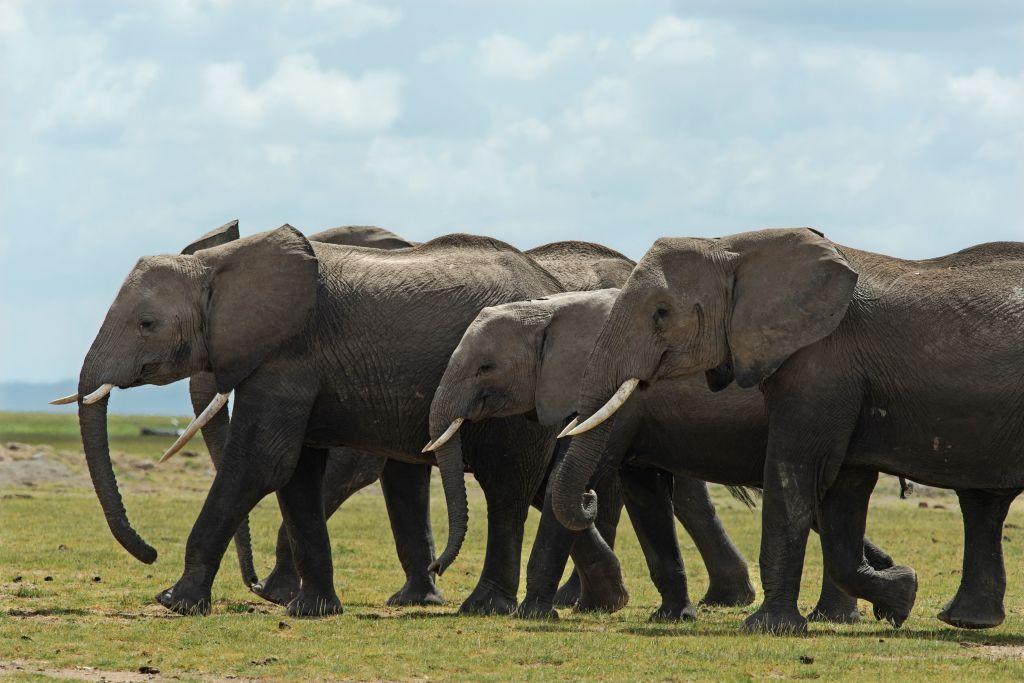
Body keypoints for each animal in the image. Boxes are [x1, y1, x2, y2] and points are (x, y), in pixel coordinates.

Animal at [69, 224, 632, 617]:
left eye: (147, 324)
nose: (148, 552)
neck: (221, 264)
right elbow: (295, 471)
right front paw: (310, 610)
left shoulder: (289, 358)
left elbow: (260, 463)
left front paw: (175, 601)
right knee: (543, 486)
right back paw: (602, 599)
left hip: (519, 393)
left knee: (507, 486)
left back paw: (487, 607)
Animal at [433, 288, 893, 623]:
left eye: (486, 368)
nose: (437, 568)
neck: (551, 309)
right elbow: (645, 495)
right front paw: (673, 617)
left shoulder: (621, 399)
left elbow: (575, 478)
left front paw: (533, 616)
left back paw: (840, 615)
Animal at [552, 227, 1024, 633]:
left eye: (662, 313)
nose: (590, 497)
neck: (735, 246)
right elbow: (842, 492)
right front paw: (902, 596)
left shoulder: (821, 365)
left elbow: (792, 473)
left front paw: (768, 627)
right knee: (983, 503)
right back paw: (965, 621)